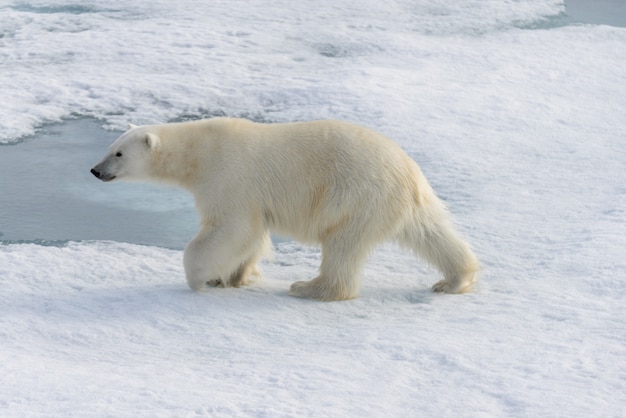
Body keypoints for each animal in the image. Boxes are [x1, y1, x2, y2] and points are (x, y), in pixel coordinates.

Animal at [90, 118, 476, 300]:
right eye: (109, 147)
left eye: (118, 153)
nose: (95, 170)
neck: (199, 152)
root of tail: (407, 172)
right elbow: (251, 237)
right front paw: (232, 277)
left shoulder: (228, 176)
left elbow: (230, 228)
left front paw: (200, 278)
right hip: (402, 201)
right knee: (432, 232)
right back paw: (453, 280)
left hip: (355, 195)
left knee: (342, 245)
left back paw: (309, 287)